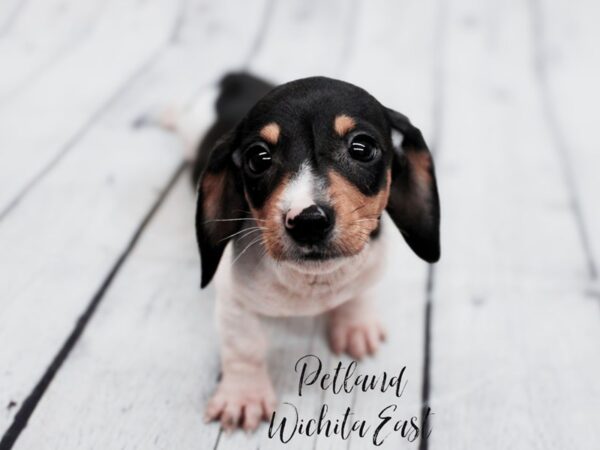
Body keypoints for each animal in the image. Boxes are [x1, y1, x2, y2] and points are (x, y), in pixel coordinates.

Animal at [192, 72, 440, 430]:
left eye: (362, 148)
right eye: (257, 158)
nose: (308, 221)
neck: (314, 283)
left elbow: (358, 292)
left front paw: (355, 325)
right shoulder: (233, 301)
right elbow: (244, 346)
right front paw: (243, 395)